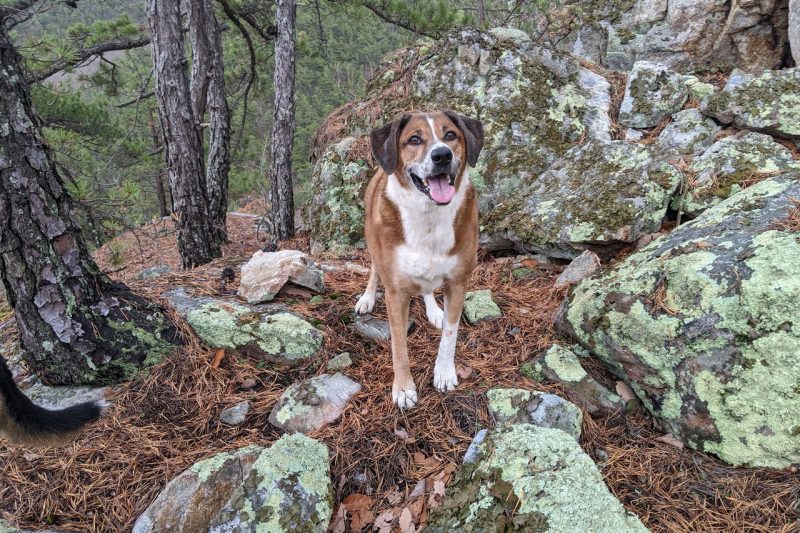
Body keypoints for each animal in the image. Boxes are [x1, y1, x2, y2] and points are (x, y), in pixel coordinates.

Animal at [354, 109, 482, 408]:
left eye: (451, 135)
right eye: (414, 139)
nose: (442, 155)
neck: (428, 216)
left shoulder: (458, 282)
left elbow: (450, 334)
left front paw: (444, 373)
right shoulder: (396, 292)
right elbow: (399, 345)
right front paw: (403, 389)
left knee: (427, 287)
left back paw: (433, 309)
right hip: (372, 240)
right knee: (374, 269)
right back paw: (367, 298)